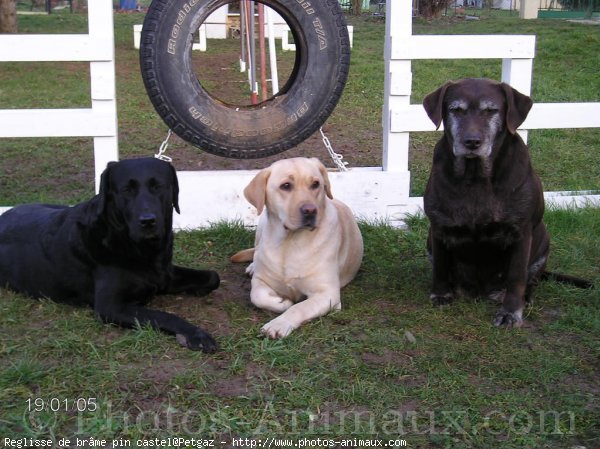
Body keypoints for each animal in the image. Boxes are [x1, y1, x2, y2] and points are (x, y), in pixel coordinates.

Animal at [0, 158, 220, 350]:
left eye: (157, 186)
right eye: (127, 190)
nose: (147, 221)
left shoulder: (165, 274)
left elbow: (213, 277)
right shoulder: (111, 307)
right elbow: (164, 315)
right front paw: (195, 334)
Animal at [422, 79, 592, 328]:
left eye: (491, 110)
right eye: (456, 110)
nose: (472, 142)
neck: (476, 178)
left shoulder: (521, 232)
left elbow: (516, 277)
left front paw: (510, 312)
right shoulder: (438, 228)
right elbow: (440, 266)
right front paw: (441, 294)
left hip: (543, 239)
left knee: (531, 281)